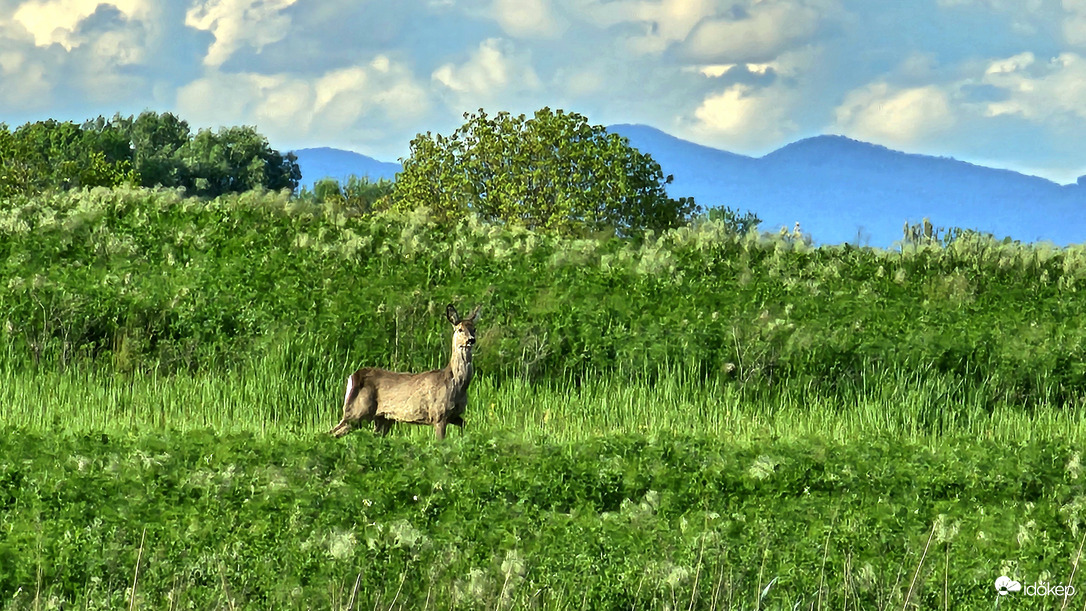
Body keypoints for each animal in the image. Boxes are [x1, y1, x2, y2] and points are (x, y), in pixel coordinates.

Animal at [330, 303, 480, 440]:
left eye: (474, 328)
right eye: (460, 329)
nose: (471, 340)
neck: (456, 383)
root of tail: (353, 376)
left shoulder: (454, 415)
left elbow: (465, 424)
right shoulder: (439, 414)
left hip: (383, 418)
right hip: (357, 411)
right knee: (331, 433)